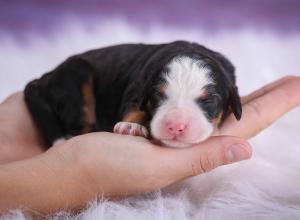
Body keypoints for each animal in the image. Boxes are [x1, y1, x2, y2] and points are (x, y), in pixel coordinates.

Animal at [24, 40, 243, 149]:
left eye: (209, 101)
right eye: (157, 96)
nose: (175, 126)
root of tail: (43, 79)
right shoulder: (138, 86)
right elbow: (134, 108)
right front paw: (132, 127)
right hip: (76, 79)